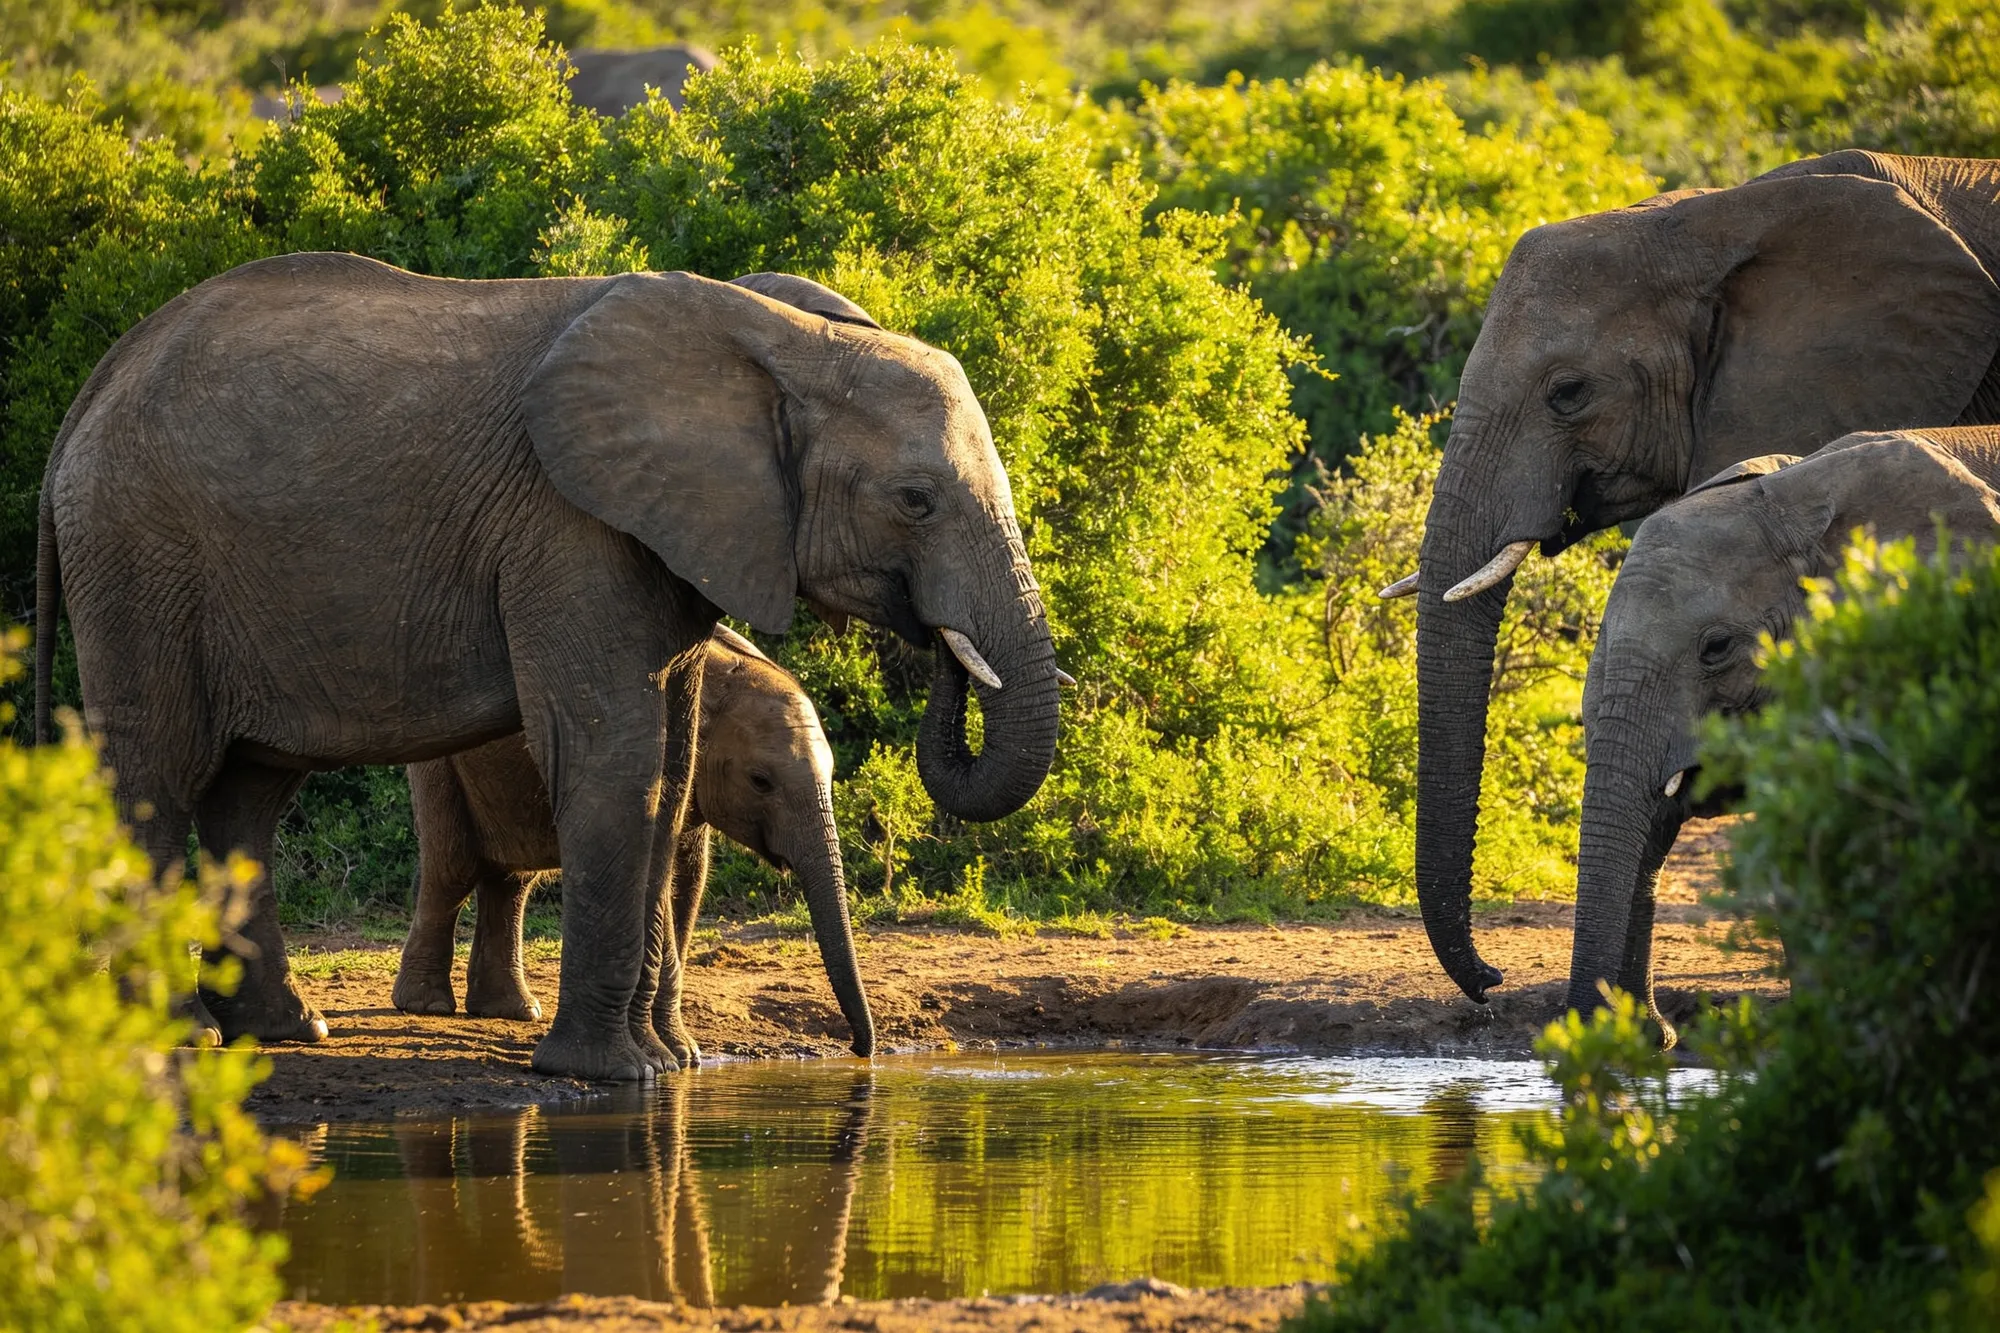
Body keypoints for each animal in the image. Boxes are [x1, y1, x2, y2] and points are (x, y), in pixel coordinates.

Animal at [392, 626, 874, 1058]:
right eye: (761, 781)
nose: (856, 1049)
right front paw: (680, 1054)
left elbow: (688, 882)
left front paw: (681, 1052)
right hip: (440, 762)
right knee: (452, 870)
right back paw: (427, 1005)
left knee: (512, 882)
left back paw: (514, 1011)